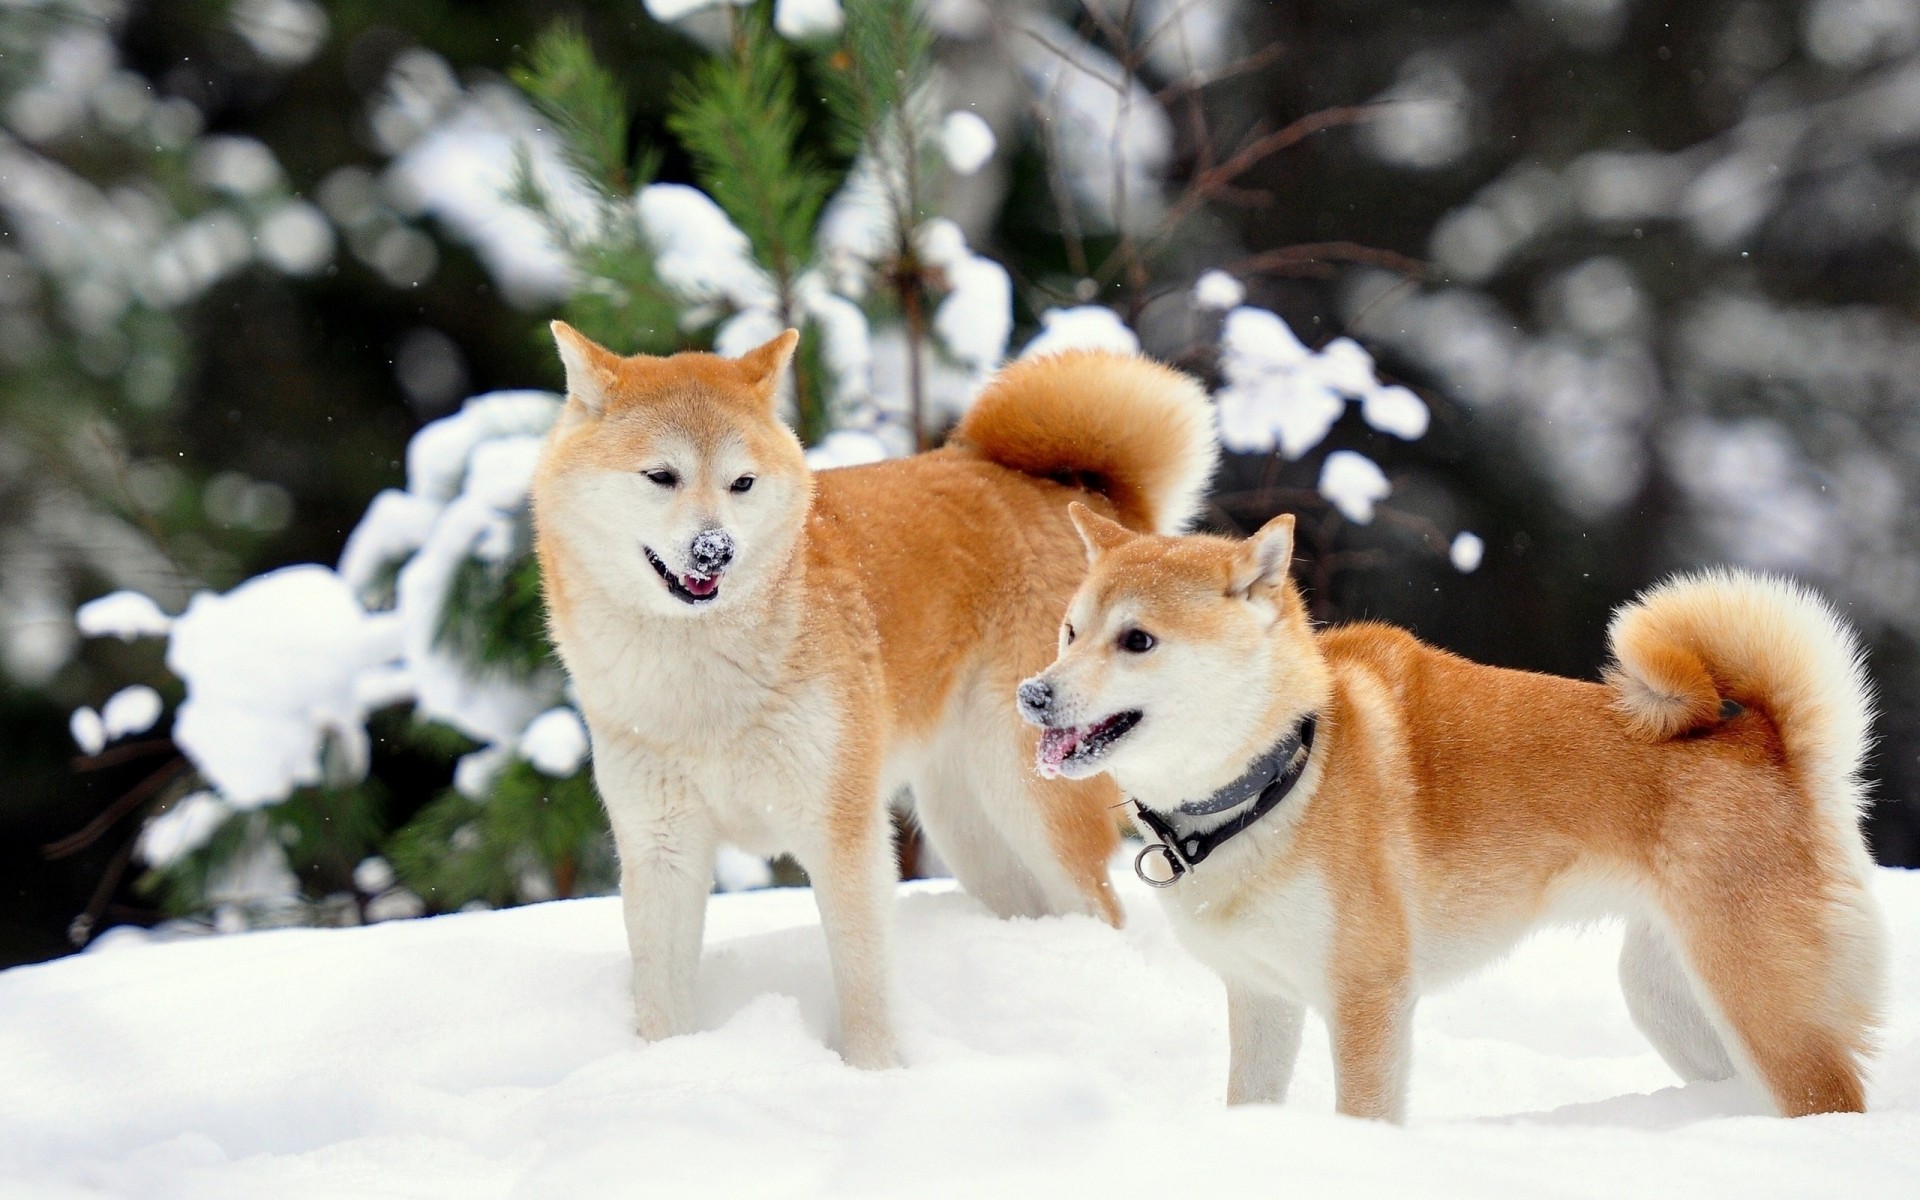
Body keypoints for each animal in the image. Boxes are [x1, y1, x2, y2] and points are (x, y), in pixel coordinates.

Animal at [1021, 503, 1889, 1113]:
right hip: (1674, 1003)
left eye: (1137, 640)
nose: (1033, 694)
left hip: (1766, 1011)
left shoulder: (1368, 996)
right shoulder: (1263, 997)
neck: (1282, 775)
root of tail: (1775, 746)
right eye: (1069, 631)